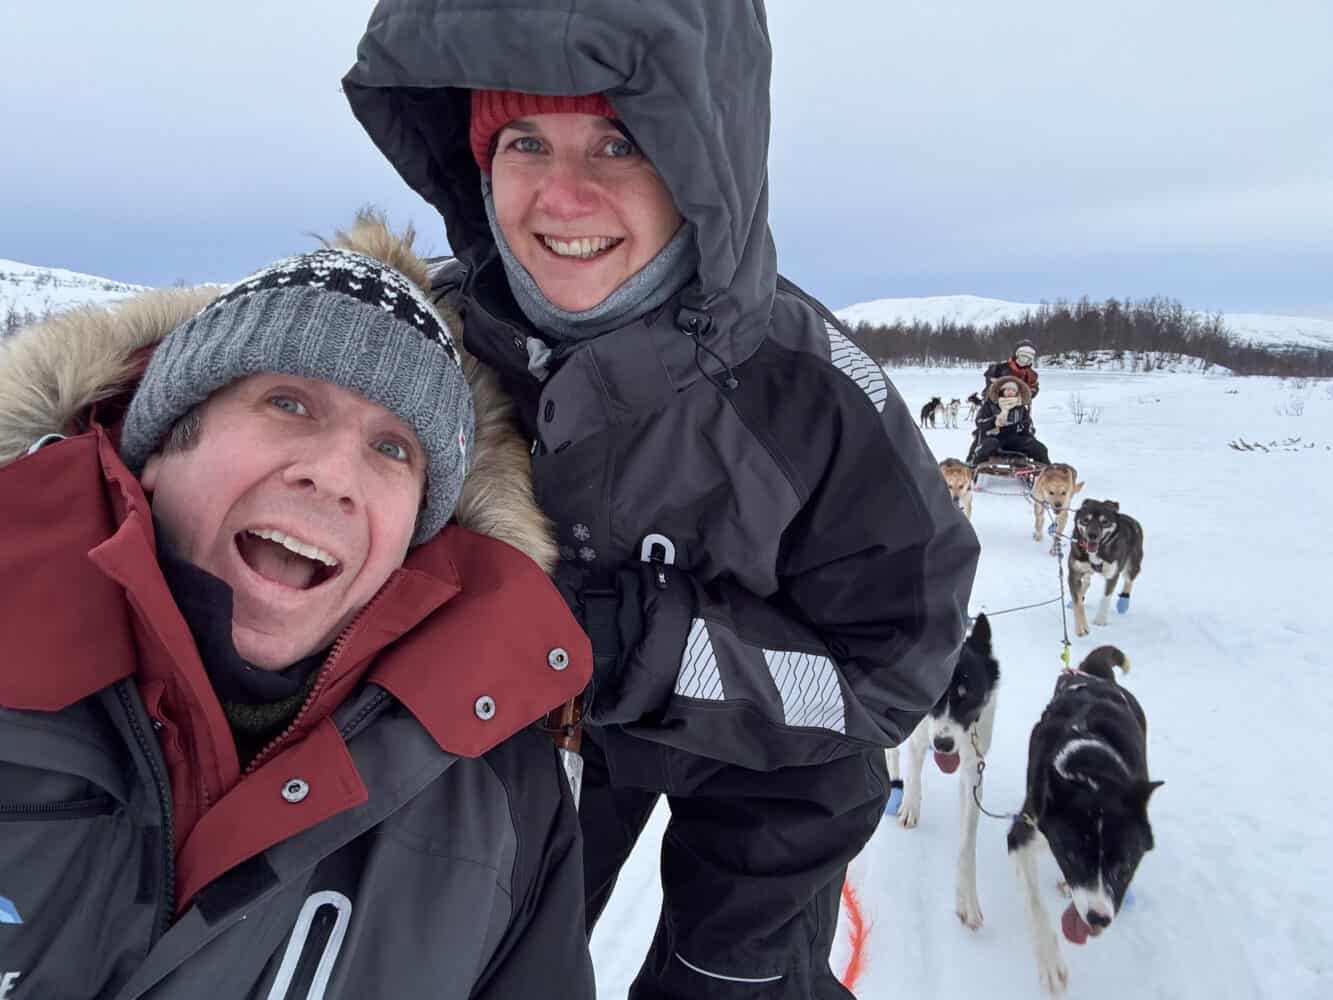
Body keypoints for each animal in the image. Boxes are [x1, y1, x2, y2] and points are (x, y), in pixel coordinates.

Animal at [885, 618, 1002, 933]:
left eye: (968, 696)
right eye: (935, 697)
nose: (943, 745)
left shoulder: (974, 770)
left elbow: (967, 846)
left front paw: (967, 901)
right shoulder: (918, 737)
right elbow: (913, 774)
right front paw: (909, 806)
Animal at [1007, 645, 1157, 997]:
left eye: (1124, 867)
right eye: (1074, 855)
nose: (1098, 918)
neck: (1092, 771)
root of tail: (1095, 676)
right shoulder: (1024, 830)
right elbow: (1035, 904)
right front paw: (1050, 963)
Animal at [1066, 498, 1141, 637]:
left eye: (1104, 521)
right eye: (1086, 520)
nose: (1092, 535)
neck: (1097, 552)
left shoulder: (1113, 575)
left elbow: (1106, 597)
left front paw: (1100, 619)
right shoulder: (1074, 573)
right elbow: (1077, 602)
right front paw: (1081, 627)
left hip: (1133, 564)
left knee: (1129, 580)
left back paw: (1123, 602)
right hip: (1085, 571)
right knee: (1087, 581)